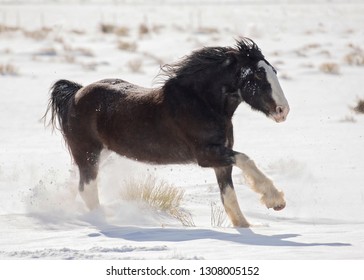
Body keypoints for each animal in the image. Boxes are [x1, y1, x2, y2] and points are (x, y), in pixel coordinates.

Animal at [44, 38, 290, 228]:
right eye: (258, 75)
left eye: (273, 71)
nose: (283, 111)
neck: (201, 103)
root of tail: (75, 93)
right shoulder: (207, 155)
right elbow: (246, 159)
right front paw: (275, 200)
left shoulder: (221, 161)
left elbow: (229, 196)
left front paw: (248, 226)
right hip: (88, 153)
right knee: (87, 189)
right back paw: (105, 219)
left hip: (101, 154)